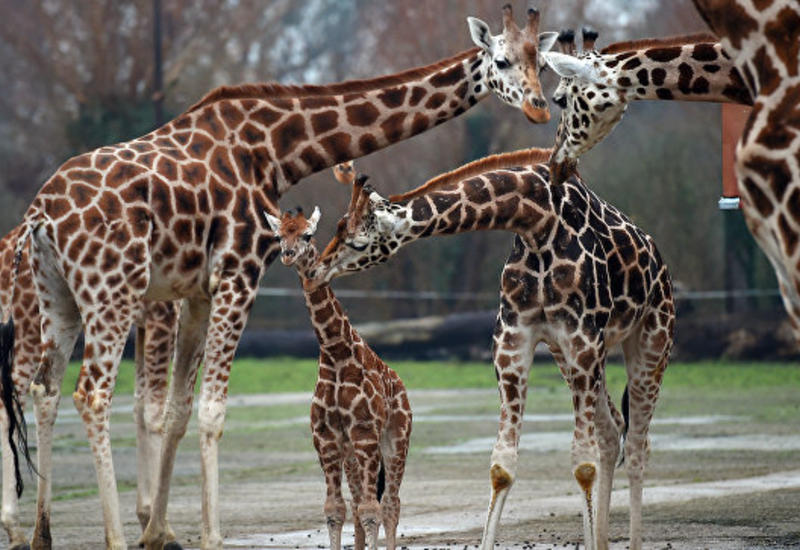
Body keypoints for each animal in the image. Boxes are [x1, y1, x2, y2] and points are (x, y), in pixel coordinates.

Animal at [266, 205, 412, 548]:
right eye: (279, 236)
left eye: (308, 234)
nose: (289, 255)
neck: (335, 352)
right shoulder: (327, 436)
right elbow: (335, 509)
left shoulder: (365, 432)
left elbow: (372, 509)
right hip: (352, 455)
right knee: (359, 503)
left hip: (396, 439)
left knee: (390, 504)